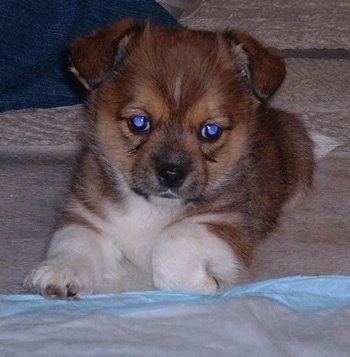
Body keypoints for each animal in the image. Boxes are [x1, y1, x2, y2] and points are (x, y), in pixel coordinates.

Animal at [24, 19, 314, 298]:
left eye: (211, 130)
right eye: (139, 122)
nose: (171, 174)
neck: (150, 208)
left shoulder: (227, 223)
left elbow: (175, 238)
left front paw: (202, 285)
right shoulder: (88, 214)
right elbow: (73, 242)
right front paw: (58, 271)